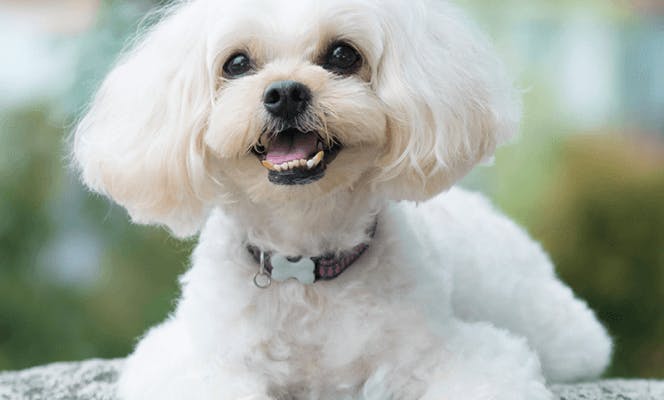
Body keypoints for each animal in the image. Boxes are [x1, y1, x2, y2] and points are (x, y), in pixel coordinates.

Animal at [72, 0, 612, 400]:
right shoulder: (194, 358)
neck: (305, 267)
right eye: (237, 63)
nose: (286, 93)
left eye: (342, 55)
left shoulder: (454, 353)